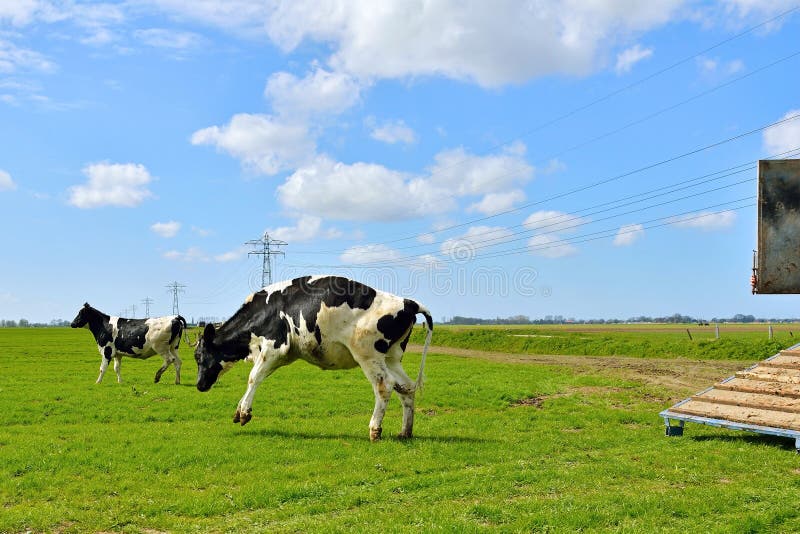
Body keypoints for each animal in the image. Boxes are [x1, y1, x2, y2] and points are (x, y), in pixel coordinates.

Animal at [194, 276, 432, 444]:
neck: (265, 311)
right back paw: (405, 431)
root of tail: (407, 302)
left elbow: (253, 377)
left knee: (385, 385)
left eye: (198, 356)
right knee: (406, 387)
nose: (199, 385)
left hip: (368, 354)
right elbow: (257, 377)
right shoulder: (281, 354)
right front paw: (239, 409)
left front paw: (244, 413)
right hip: (392, 358)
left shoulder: (275, 347)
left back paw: (375, 430)